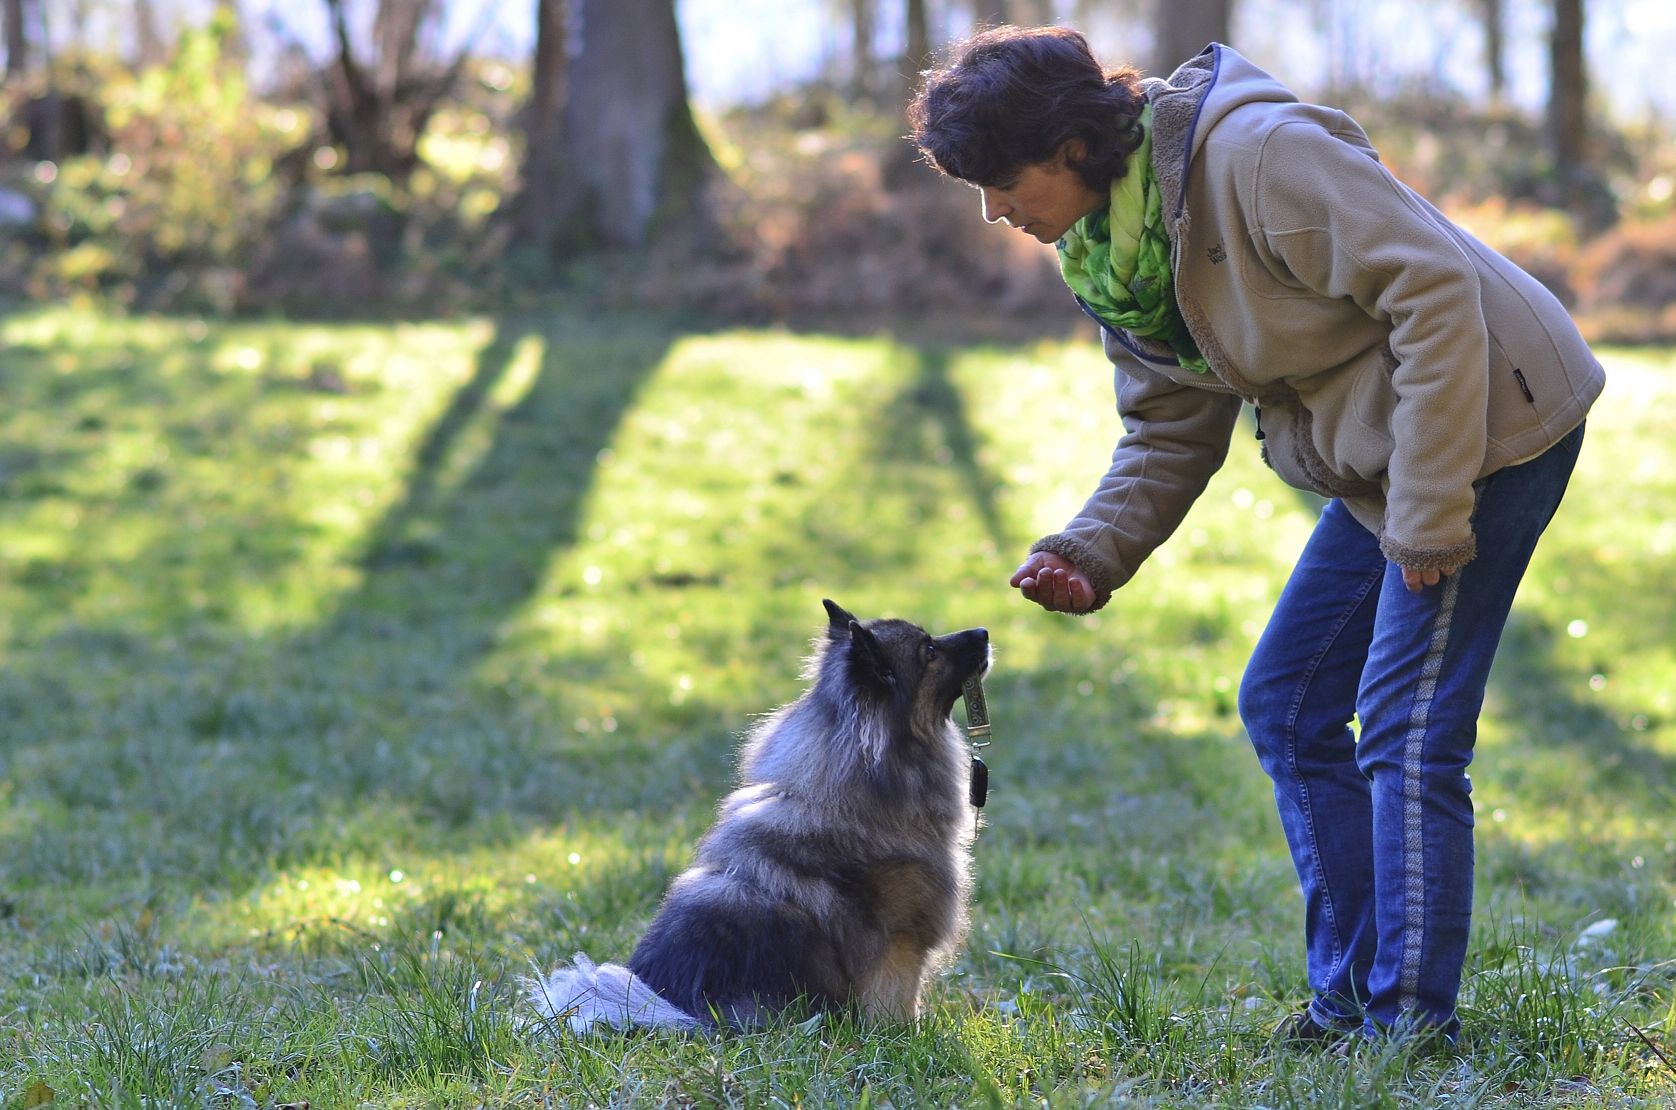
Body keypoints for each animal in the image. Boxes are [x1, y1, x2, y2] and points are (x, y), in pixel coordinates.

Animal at [529, 600, 985, 1032]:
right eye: (929, 651)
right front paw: (907, 1035)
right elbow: (898, 1002)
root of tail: (677, 1008)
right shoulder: (899, 944)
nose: (983, 631)